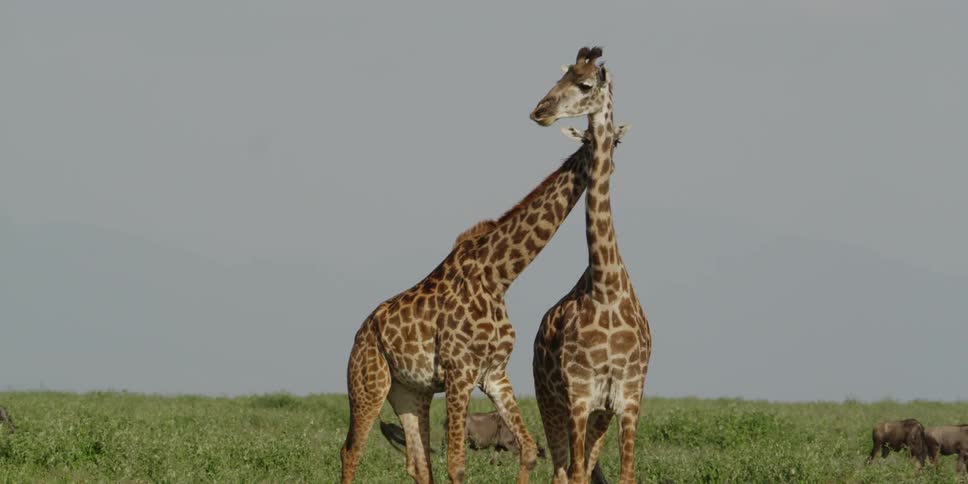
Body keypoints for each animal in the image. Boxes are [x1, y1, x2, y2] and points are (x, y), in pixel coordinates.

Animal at [340, 93, 618, 482]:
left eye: (615, 141)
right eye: (590, 140)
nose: (607, 166)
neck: (497, 276)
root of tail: (360, 334)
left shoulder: (493, 373)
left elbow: (528, 449)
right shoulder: (459, 373)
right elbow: (457, 464)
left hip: (410, 391)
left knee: (417, 461)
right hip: (368, 381)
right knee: (351, 451)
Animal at [530, 47, 652, 484]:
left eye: (584, 85)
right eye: (561, 77)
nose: (540, 111)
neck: (605, 287)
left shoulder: (629, 399)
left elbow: (626, 475)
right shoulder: (579, 396)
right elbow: (578, 473)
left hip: (599, 414)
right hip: (550, 400)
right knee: (562, 470)